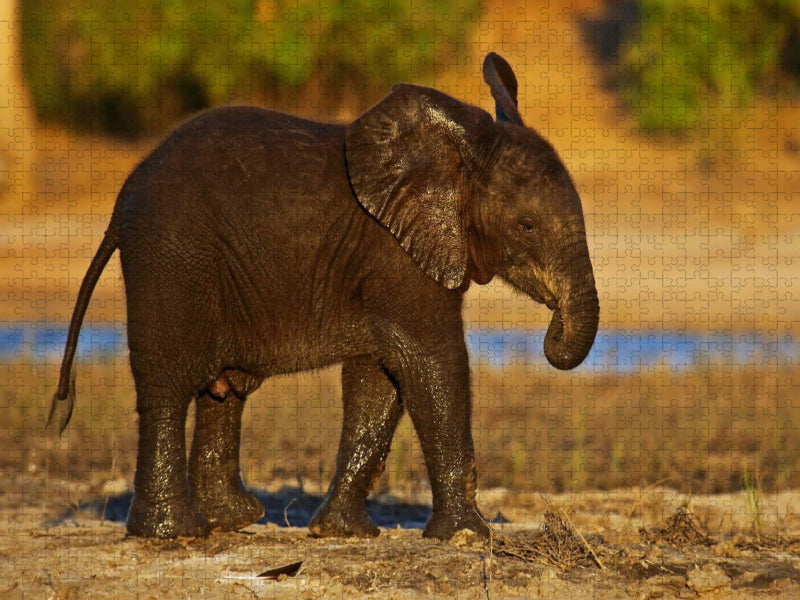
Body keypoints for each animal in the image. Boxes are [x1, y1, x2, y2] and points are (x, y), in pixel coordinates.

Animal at [48, 53, 599, 540]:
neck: (454, 158)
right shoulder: (394, 252)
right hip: (172, 256)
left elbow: (380, 380)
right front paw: (470, 537)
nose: (553, 332)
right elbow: (431, 362)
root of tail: (122, 200)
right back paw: (173, 533)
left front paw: (343, 533)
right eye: (527, 226)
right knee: (169, 383)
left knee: (221, 390)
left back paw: (233, 520)